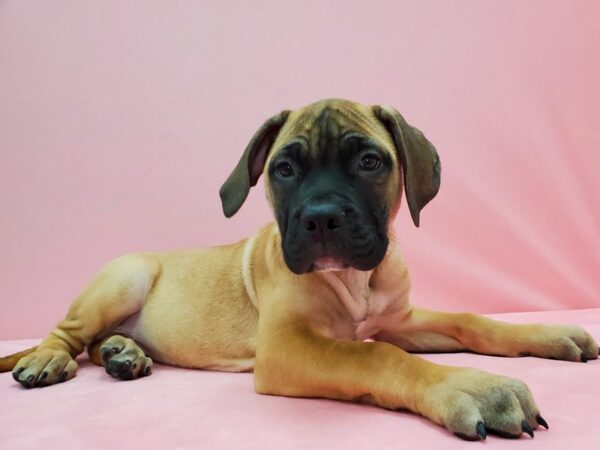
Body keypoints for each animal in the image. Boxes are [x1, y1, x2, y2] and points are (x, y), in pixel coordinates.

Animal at [1, 100, 600, 442]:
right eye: (283, 169)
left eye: (369, 162)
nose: (321, 218)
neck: (357, 281)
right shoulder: (289, 348)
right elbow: (376, 357)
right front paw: (471, 388)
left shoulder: (399, 319)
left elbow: (469, 320)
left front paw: (548, 334)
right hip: (127, 274)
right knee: (67, 335)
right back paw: (49, 359)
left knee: (97, 342)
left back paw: (124, 354)